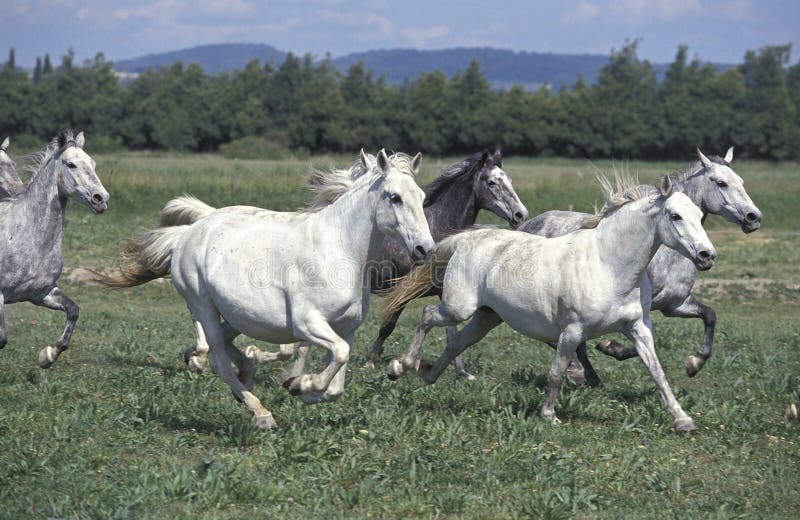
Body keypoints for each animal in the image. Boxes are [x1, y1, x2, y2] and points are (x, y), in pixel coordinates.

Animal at [0, 131, 109, 368]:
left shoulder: (42, 293)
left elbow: (73, 311)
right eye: (71, 164)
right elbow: (2, 339)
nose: (101, 199)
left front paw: (47, 356)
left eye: (93, 164)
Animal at [96, 150, 435, 429]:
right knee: (219, 358)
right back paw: (259, 412)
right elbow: (336, 354)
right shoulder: (307, 323)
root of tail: (187, 233)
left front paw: (300, 387)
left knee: (225, 344)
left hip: (236, 313)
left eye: (421, 197)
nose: (425, 249)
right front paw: (302, 384)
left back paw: (242, 370)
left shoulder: (346, 328)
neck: (337, 250)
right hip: (202, 306)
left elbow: (337, 380)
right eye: (394, 197)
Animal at [383, 172, 716, 432]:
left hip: (486, 317)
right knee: (428, 315)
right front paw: (549, 415)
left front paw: (682, 419)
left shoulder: (638, 327)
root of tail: (467, 239)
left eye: (699, 216)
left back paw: (427, 374)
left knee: (456, 343)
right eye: (675, 216)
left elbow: (657, 371)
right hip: (458, 307)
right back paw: (400, 366)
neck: (609, 265)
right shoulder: (572, 330)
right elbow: (557, 372)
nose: (706, 255)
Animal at [519, 148, 761, 385]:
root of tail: (527, 225)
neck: (667, 253)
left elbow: (710, 316)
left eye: (741, 181)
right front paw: (610, 347)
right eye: (721, 183)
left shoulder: (675, 304)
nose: (754, 217)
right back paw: (584, 374)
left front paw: (694, 363)